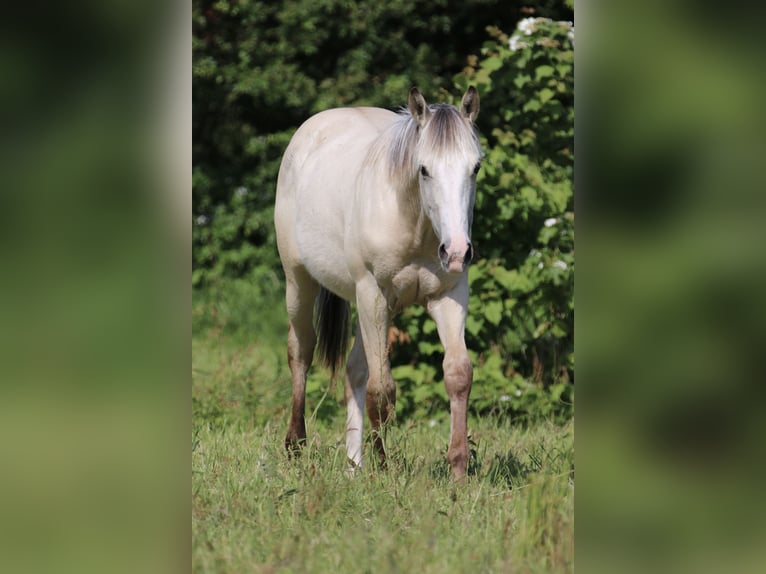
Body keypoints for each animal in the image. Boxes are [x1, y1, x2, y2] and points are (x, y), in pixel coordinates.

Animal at [272, 88, 484, 480]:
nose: (457, 251)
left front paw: (459, 470)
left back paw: (354, 464)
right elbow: (383, 389)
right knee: (301, 351)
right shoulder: (373, 295)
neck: (414, 225)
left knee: (353, 372)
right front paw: (385, 469)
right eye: (424, 169)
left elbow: (458, 375)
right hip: (300, 282)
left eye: (475, 167)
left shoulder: (449, 297)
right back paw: (296, 446)